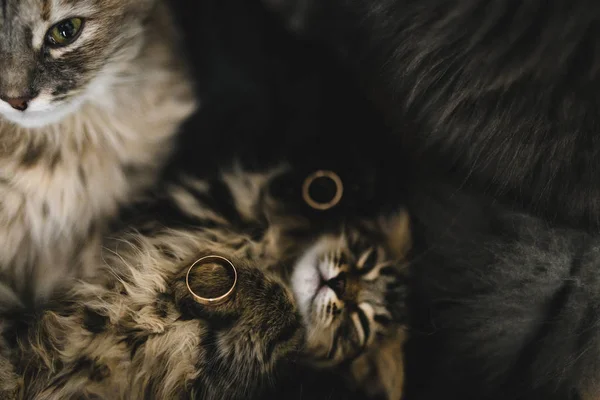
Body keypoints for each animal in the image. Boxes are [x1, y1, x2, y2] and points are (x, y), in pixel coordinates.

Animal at [2, 165, 410, 400]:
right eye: (364, 262)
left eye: (357, 325)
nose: (340, 286)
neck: (272, 259)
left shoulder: (219, 382)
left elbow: (285, 312)